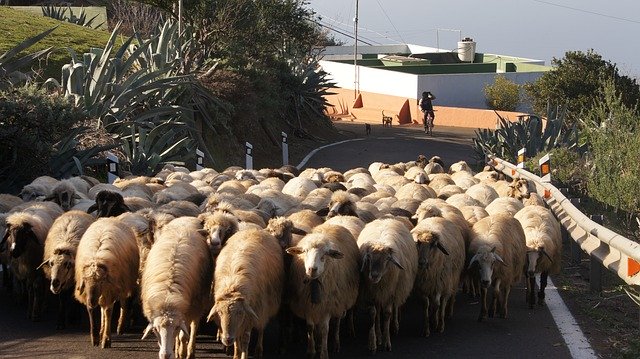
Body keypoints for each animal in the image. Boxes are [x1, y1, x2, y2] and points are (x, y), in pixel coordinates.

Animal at [75, 218, 140, 348]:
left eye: (101, 281)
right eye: (85, 280)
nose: (91, 301)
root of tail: (110, 218)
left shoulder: (111, 289)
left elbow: (108, 312)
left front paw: (106, 339)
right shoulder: (90, 293)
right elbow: (92, 312)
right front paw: (95, 337)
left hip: (124, 282)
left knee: (122, 304)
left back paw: (119, 327)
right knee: (102, 308)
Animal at [141, 217, 214, 359]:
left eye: (175, 327)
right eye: (155, 329)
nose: (165, 355)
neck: (167, 295)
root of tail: (186, 217)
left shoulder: (187, 312)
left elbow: (183, 335)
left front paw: (182, 352)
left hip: (198, 303)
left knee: (193, 327)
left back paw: (189, 351)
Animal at [209, 229, 284, 359]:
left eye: (239, 313)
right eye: (220, 313)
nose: (227, 339)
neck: (233, 286)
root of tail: (256, 229)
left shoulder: (251, 312)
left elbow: (245, 339)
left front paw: (243, 354)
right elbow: (238, 339)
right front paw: (236, 353)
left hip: (263, 306)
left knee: (261, 327)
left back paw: (259, 349)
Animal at [284, 224, 360, 358]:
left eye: (325, 254)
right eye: (305, 251)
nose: (312, 269)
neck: (315, 284)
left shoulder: (327, 306)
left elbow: (325, 329)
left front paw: (324, 353)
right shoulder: (307, 305)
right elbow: (310, 327)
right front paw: (311, 350)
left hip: (339, 301)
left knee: (337, 322)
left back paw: (335, 343)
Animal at [358, 219, 418, 354]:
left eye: (387, 259)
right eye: (369, 258)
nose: (374, 276)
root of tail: (386, 219)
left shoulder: (391, 291)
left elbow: (387, 314)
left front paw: (387, 342)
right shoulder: (370, 292)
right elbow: (373, 314)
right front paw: (373, 342)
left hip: (396, 288)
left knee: (395, 307)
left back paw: (394, 326)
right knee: (377, 311)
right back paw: (379, 335)